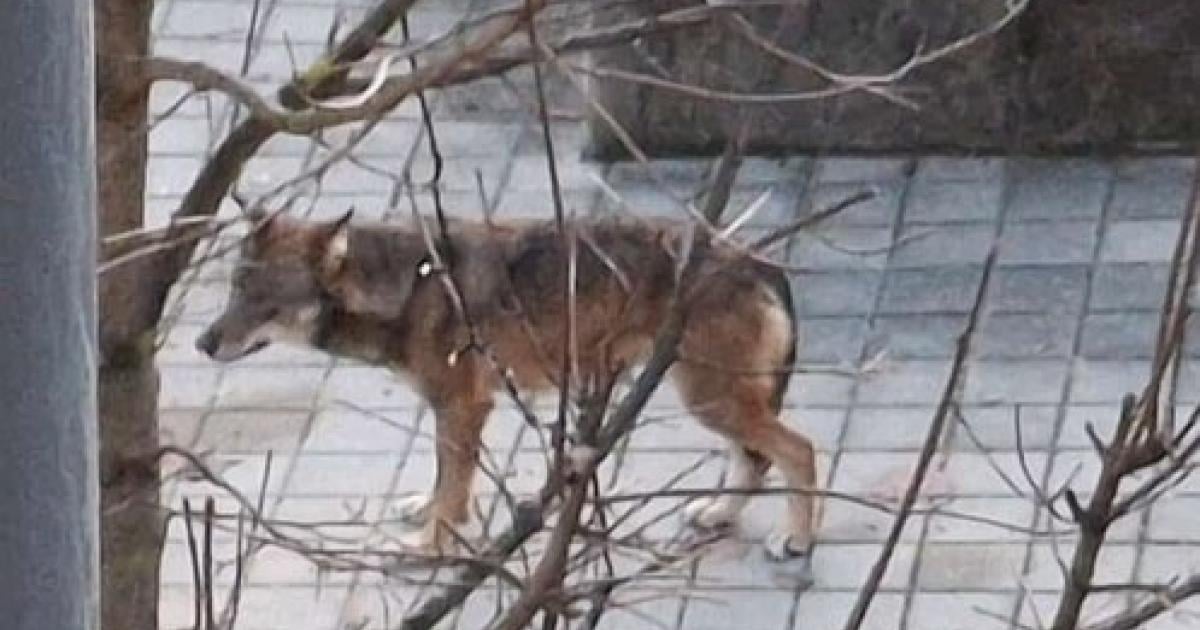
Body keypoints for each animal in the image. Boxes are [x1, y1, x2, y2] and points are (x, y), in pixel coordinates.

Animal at [196, 210, 820, 566]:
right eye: (233, 289)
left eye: (260, 300)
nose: (202, 343)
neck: (409, 286)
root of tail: (763, 262)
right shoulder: (455, 410)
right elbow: (445, 476)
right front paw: (429, 514)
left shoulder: (462, 405)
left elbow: (452, 485)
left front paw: (430, 548)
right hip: (712, 398)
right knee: (757, 459)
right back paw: (717, 514)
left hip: (710, 399)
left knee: (799, 450)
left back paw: (796, 541)